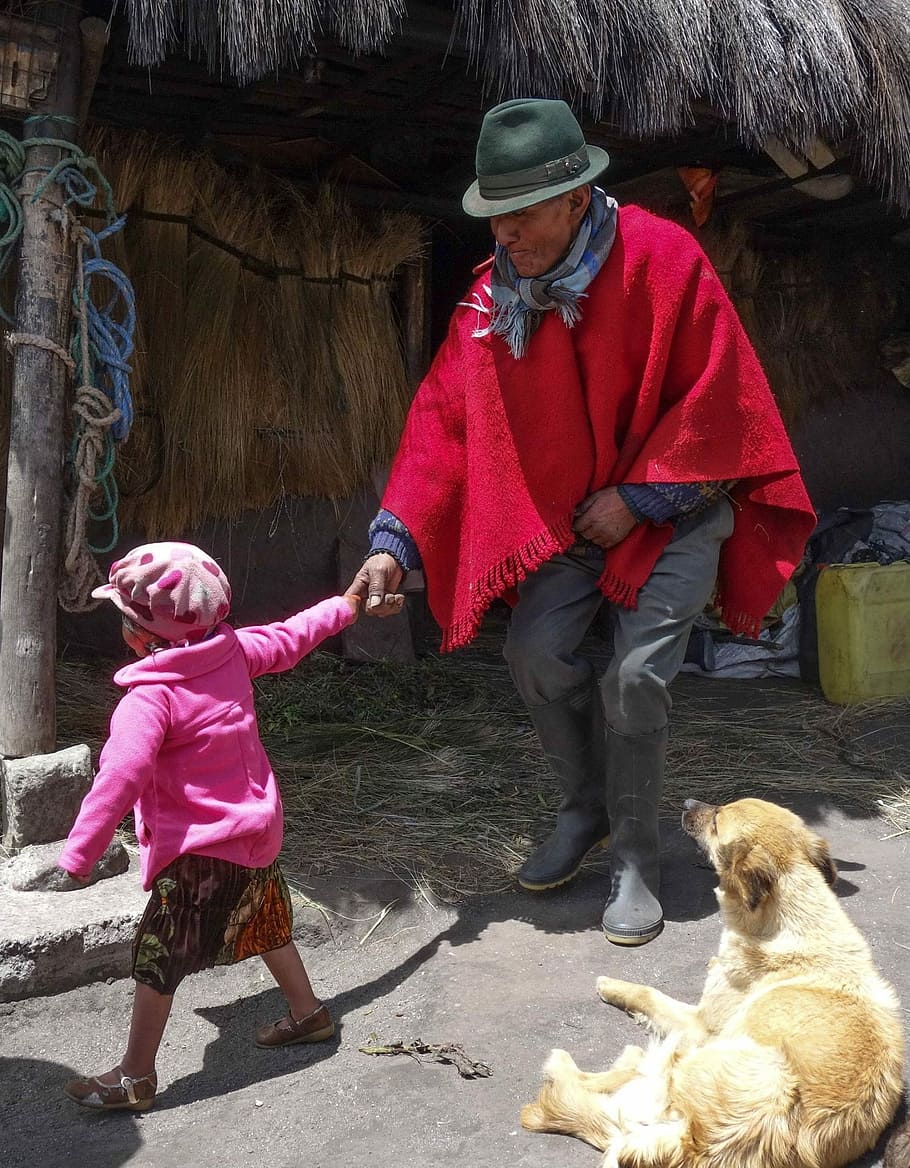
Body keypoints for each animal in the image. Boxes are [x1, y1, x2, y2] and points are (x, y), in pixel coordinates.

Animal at [518, 798, 901, 1168]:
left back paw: (573, 1062)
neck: (791, 916)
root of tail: (694, 1144)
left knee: (598, 1083)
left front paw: (612, 985)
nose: (686, 802)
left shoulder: (701, 1024)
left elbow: (651, 993)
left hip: (690, 1056)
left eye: (717, 820)